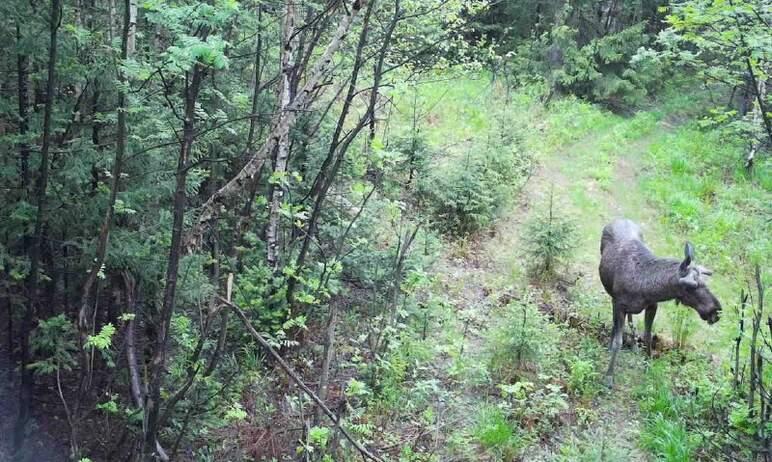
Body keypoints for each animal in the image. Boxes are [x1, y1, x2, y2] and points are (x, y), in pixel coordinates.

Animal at [600, 219, 720, 386]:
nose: (716, 311)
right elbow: (618, 341)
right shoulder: (620, 305)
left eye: (705, 282)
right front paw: (609, 376)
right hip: (612, 295)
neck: (644, 289)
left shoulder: (652, 306)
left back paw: (634, 345)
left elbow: (648, 337)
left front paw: (647, 364)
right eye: (691, 287)